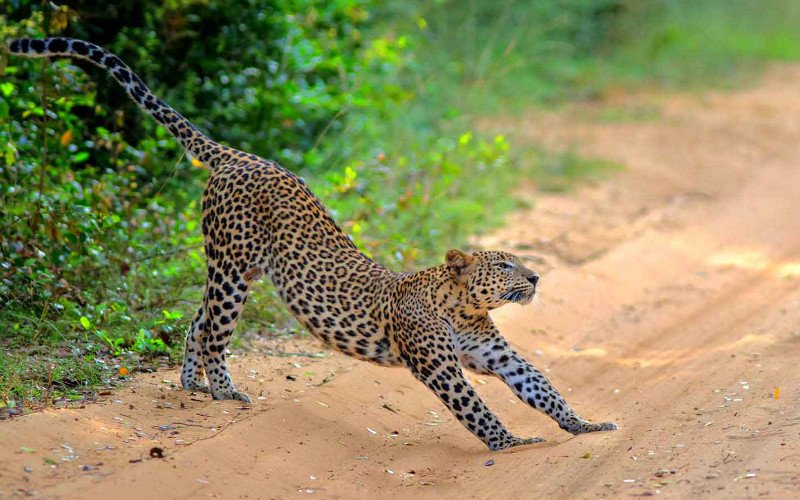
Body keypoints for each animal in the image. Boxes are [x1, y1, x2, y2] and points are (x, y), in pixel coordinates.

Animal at [7, 37, 620, 452]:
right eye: (505, 264)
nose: (536, 278)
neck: (460, 306)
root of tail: (236, 155)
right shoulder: (440, 365)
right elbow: (473, 405)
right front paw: (511, 443)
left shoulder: (496, 355)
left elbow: (542, 387)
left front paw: (587, 424)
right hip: (232, 266)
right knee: (214, 331)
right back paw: (224, 391)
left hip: (235, 268)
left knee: (196, 320)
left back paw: (192, 385)